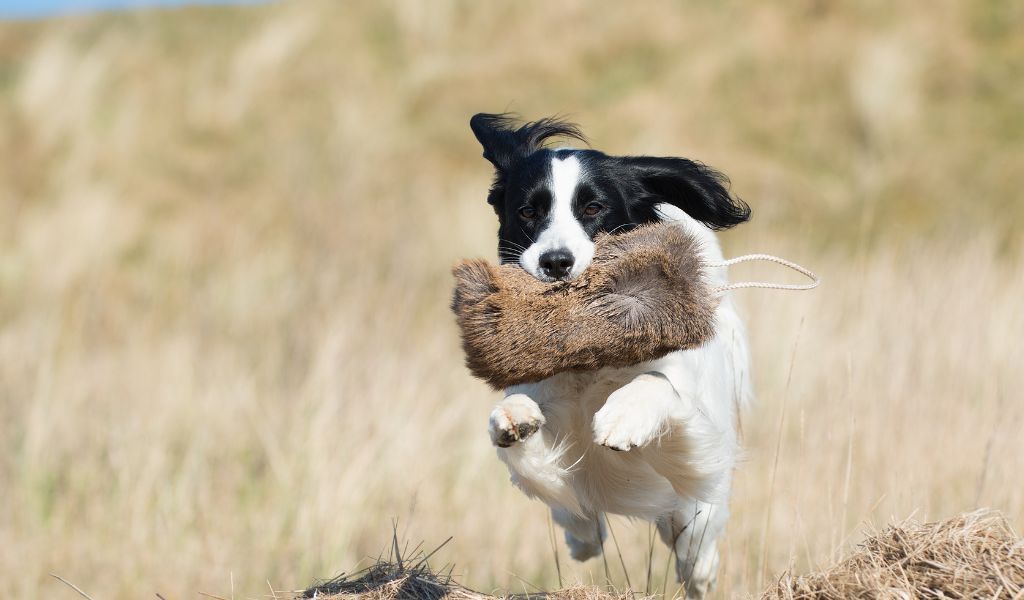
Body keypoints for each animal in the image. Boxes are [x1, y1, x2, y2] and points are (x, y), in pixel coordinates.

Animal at [471, 113, 753, 597]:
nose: (555, 262)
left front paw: (621, 419)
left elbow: (657, 383)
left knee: (697, 533)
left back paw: (699, 569)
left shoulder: (692, 419)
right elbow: (527, 432)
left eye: (593, 208)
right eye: (528, 212)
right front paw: (513, 419)